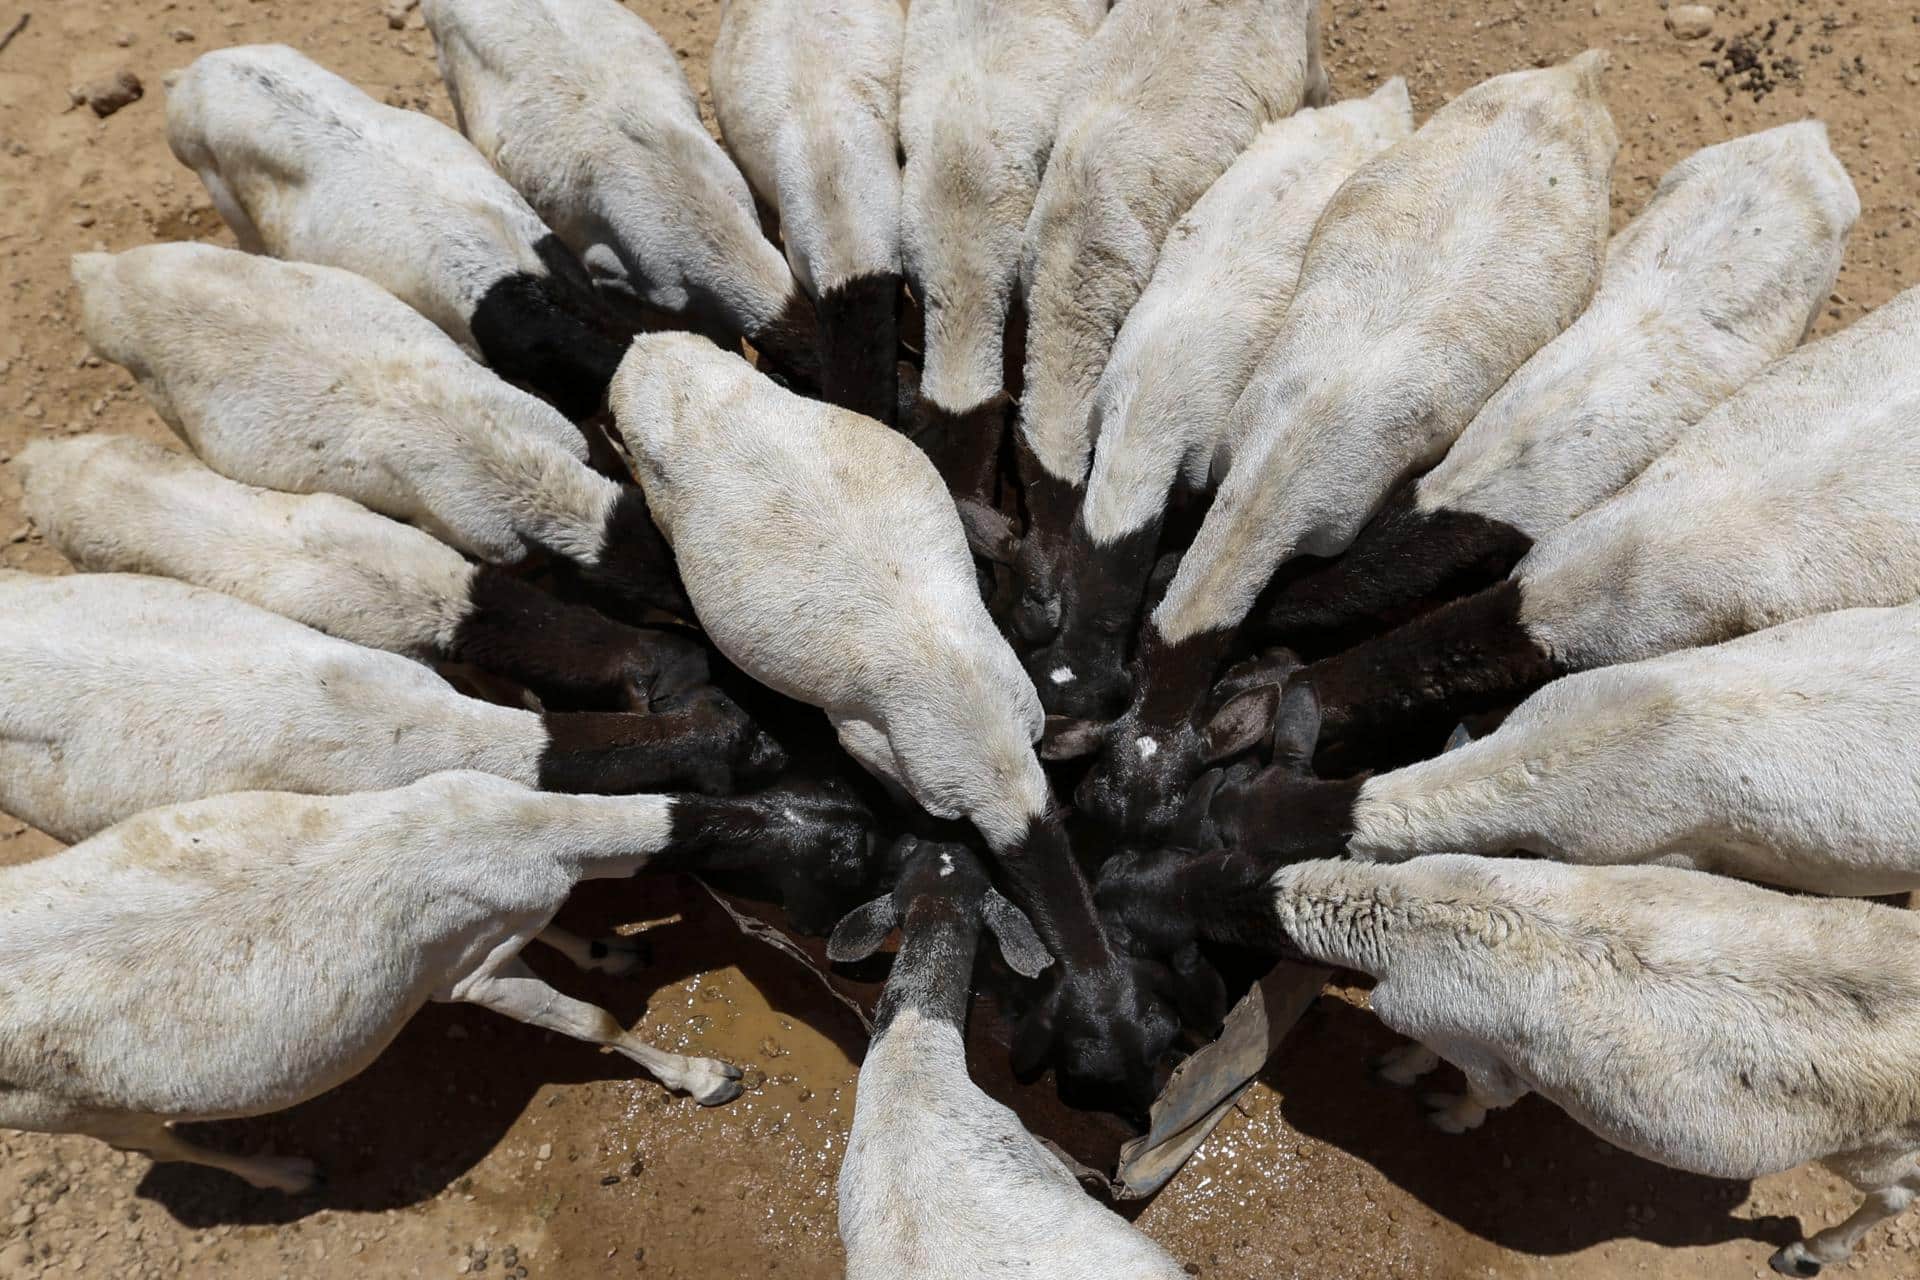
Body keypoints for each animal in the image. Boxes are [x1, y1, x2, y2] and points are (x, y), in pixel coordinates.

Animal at [0, 769, 884, 1189]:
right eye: (852, 870)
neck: (500, 829)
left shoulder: (498, 922)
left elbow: (560, 931)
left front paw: (611, 953)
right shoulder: (471, 979)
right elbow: (594, 1024)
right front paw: (704, 1078)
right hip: (64, 1109)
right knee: (159, 1143)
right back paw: (283, 1173)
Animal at [609, 333, 1181, 1103]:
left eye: (1159, 1044)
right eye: (1090, 1071)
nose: (1148, 1109)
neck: (990, 750)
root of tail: (649, 353)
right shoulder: (874, 747)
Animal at [1097, 852, 1920, 1278]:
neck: (1419, 909)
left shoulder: (1465, 1038)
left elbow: (1480, 1092)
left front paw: (1428, 1100)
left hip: (1879, 1144)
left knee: (1894, 1198)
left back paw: (1811, 1250)